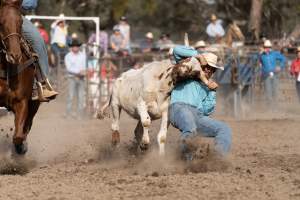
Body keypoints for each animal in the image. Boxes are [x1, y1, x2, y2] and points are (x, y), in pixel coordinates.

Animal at [0, 0, 39, 155]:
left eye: (21, 21)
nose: (15, 56)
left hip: (34, 105)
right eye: (0, 21)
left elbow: (18, 137)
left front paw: (21, 146)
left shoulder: (22, 102)